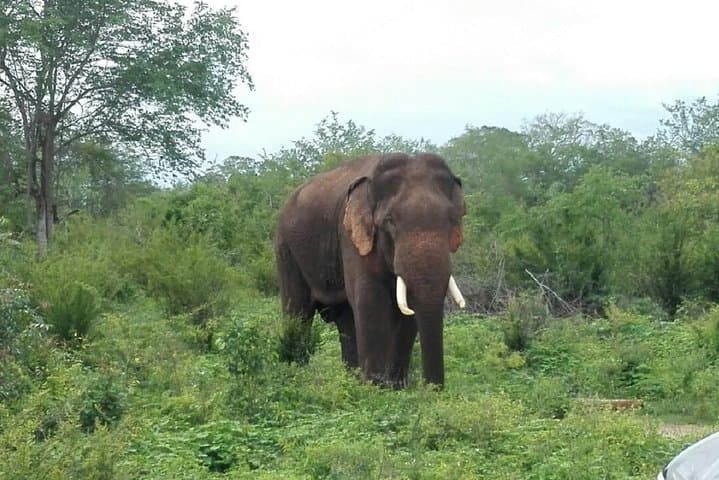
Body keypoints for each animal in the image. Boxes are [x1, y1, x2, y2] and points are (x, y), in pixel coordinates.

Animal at [275, 152, 466, 388]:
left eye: (452, 219)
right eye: (390, 221)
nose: (433, 389)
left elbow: (407, 311)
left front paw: (396, 388)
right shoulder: (351, 238)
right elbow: (370, 299)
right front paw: (376, 388)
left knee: (346, 320)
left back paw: (351, 379)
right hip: (286, 249)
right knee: (298, 312)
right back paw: (296, 373)